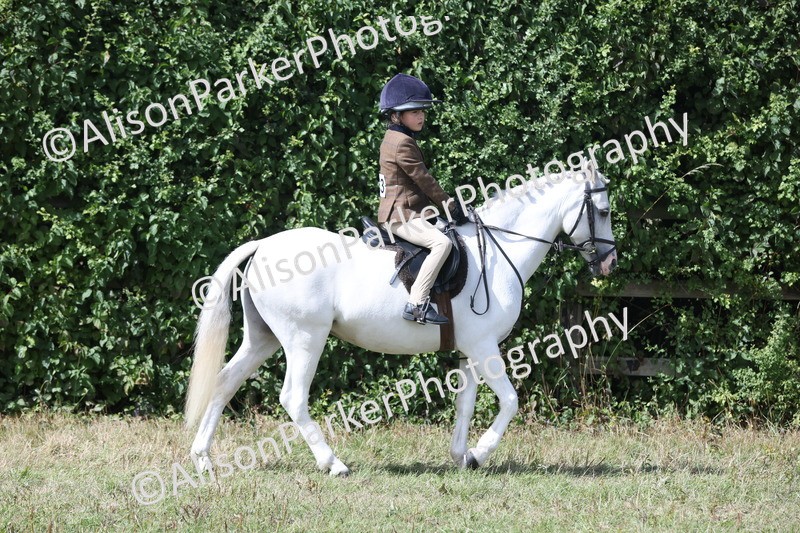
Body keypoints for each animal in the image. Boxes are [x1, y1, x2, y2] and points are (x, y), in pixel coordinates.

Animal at [185, 166, 618, 477]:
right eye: (603, 211)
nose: (609, 263)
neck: (497, 250)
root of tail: (263, 245)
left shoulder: (469, 349)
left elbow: (465, 403)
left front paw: (461, 456)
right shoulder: (484, 347)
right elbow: (510, 401)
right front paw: (479, 454)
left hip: (263, 338)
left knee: (224, 382)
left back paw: (203, 459)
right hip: (304, 339)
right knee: (293, 397)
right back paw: (333, 464)